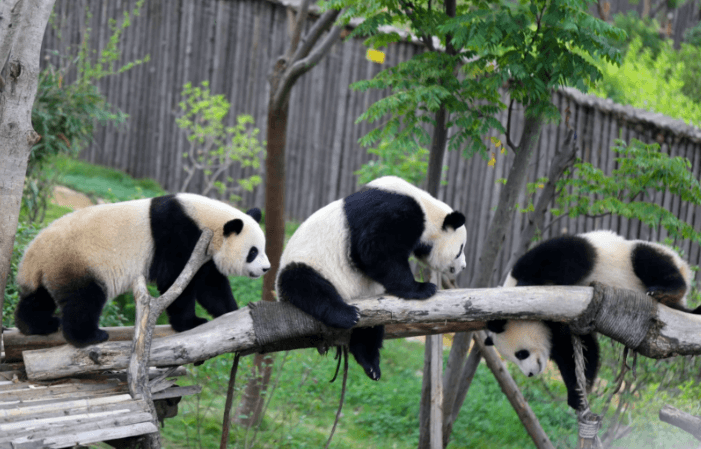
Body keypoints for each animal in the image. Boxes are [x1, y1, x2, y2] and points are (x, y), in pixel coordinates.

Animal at [14, 193, 270, 348]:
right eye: (253, 252)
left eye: (263, 248)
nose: (266, 268)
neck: (208, 220)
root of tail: (33, 255)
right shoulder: (180, 237)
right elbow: (176, 282)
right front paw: (190, 322)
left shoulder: (204, 252)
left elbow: (211, 286)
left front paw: (232, 313)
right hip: (79, 262)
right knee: (84, 299)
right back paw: (88, 336)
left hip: (52, 270)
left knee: (38, 298)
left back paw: (36, 326)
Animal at [276, 176, 468, 380]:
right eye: (460, 249)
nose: (463, 266)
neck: (426, 208)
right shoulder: (393, 211)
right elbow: (374, 250)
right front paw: (421, 288)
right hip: (308, 265)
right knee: (308, 286)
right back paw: (346, 315)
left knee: (370, 330)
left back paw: (370, 365)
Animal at [485, 230, 697, 410]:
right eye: (513, 359)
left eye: (521, 354)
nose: (530, 374)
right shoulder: (561, 325)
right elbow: (578, 351)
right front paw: (577, 395)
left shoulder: (547, 260)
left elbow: (569, 255)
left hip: (641, 255)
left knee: (646, 258)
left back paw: (666, 290)